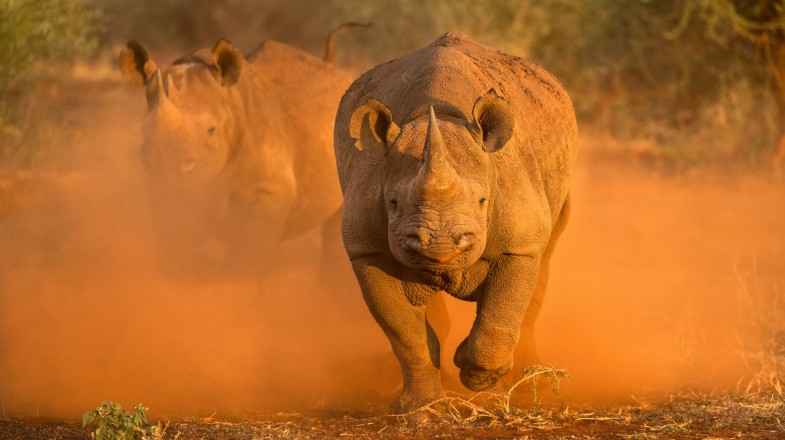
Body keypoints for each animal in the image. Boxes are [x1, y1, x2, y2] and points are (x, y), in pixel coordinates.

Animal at [119, 37, 354, 276]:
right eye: (144, 131)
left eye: (211, 130)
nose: (167, 168)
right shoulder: (165, 195)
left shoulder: (266, 191)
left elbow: (242, 261)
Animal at [334, 32, 577, 413]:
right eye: (393, 203)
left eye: (482, 202)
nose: (440, 245)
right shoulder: (367, 251)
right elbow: (406, 333)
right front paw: (418, 409)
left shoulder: (519, 245)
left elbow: (503, 309)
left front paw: (477, 375)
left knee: (545, 259)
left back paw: (528, 386)